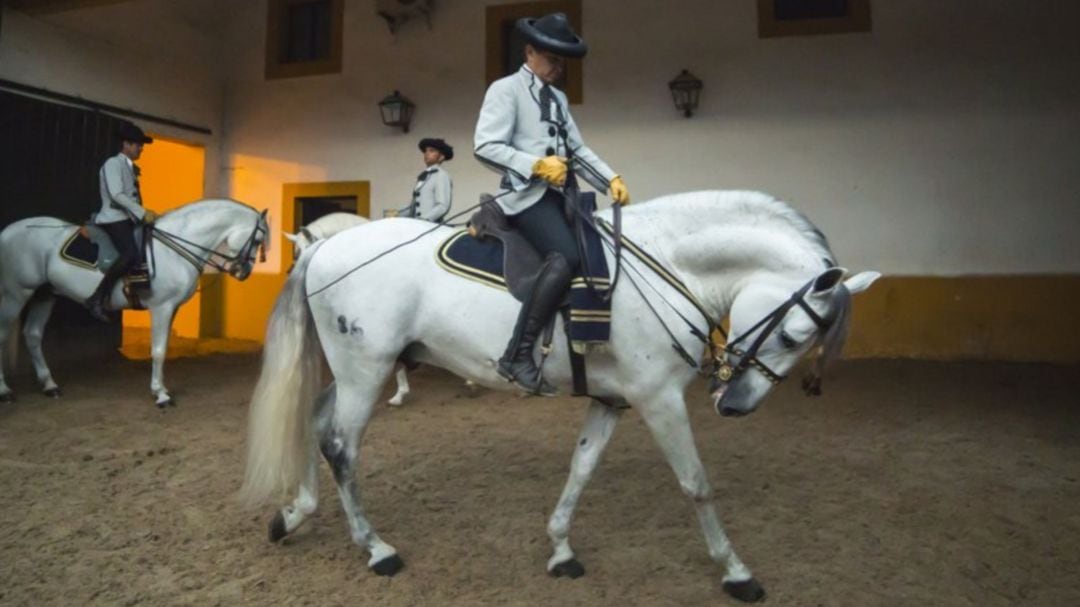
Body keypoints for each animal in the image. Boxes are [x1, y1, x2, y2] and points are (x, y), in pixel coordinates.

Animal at [0, 199, 267, 406]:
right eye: (257, 240)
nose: (243, 272)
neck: (172, 249)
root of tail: (8, 232)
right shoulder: (161, 307)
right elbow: (158, 351)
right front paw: (161, 396)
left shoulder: (172, 309)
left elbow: (163, 348)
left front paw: (161, 389)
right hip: (16, 293)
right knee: (4, 335)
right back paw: (5, 391)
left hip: (45, 294)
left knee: (33, 335)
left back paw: (49, 386)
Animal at [238, 189, 876, 600]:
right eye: (793, 335)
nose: (735, 405)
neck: (669, 266)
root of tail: (323, 249)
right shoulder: (660, 400)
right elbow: (696, 484)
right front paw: (736, 572)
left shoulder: (613, 400)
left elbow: (581, 469)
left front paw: (562, 550)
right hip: (365, 372)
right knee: (341, 447)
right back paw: (376, 548)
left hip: (355, 373)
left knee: (315, 426)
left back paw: (294, 514)